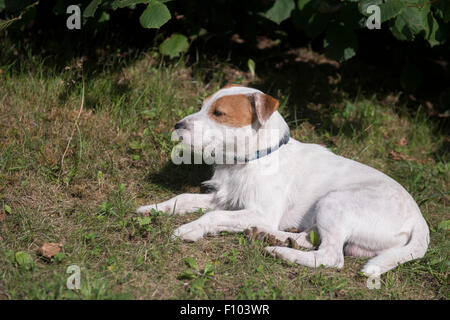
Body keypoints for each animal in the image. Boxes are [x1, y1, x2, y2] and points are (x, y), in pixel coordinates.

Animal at [137, 85, 428, 276]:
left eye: (218, 113)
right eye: (202, 106)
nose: (177, 125)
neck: (251, 159)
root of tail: (420, 221)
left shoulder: (260, 211)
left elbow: (211, 216)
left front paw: (189, 228)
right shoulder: (226, 199)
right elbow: (183, 197)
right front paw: (153, 209)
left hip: (335, 202)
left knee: (331, 257)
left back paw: (282, 252)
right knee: (312, 240)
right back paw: (274, 237)